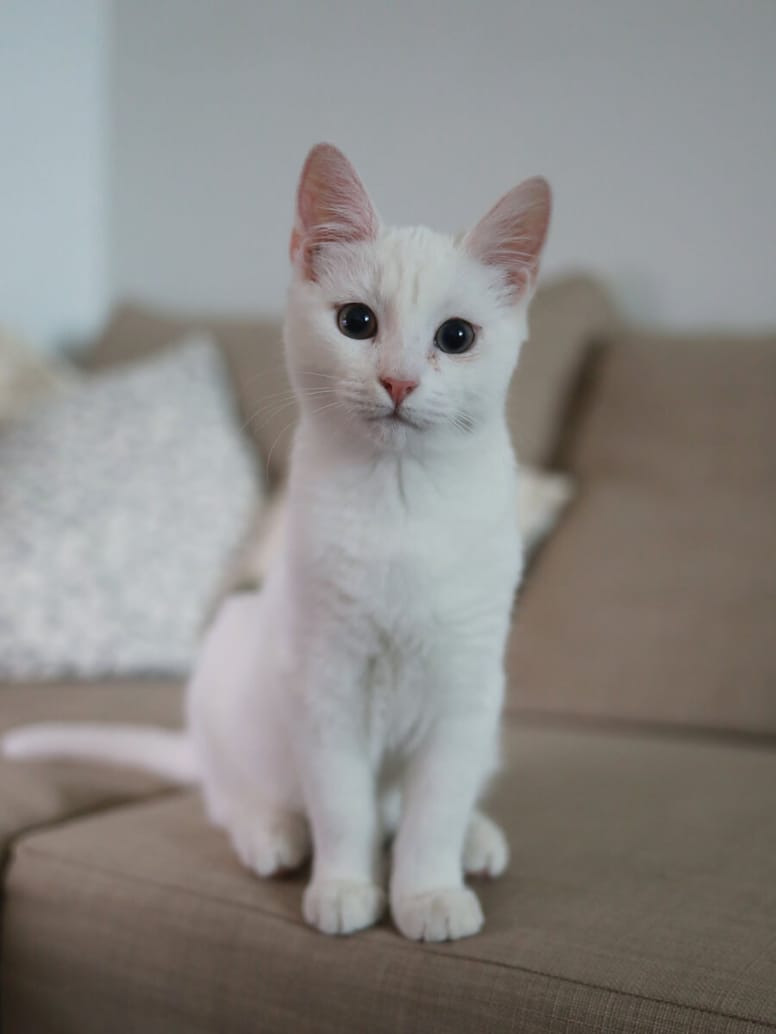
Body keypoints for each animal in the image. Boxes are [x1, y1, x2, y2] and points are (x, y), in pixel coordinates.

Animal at [4, 145, 554, 947]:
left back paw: (477, 840)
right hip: (229, 669)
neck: (400, 504)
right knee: (230, 796)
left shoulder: (463, 693)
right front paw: (347, 888)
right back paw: (272, 834)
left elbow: (432, 815)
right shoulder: (324, 688)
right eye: (357, 322)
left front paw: (428, 893)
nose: (398, 380)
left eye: (456, 337)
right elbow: (346, 810)